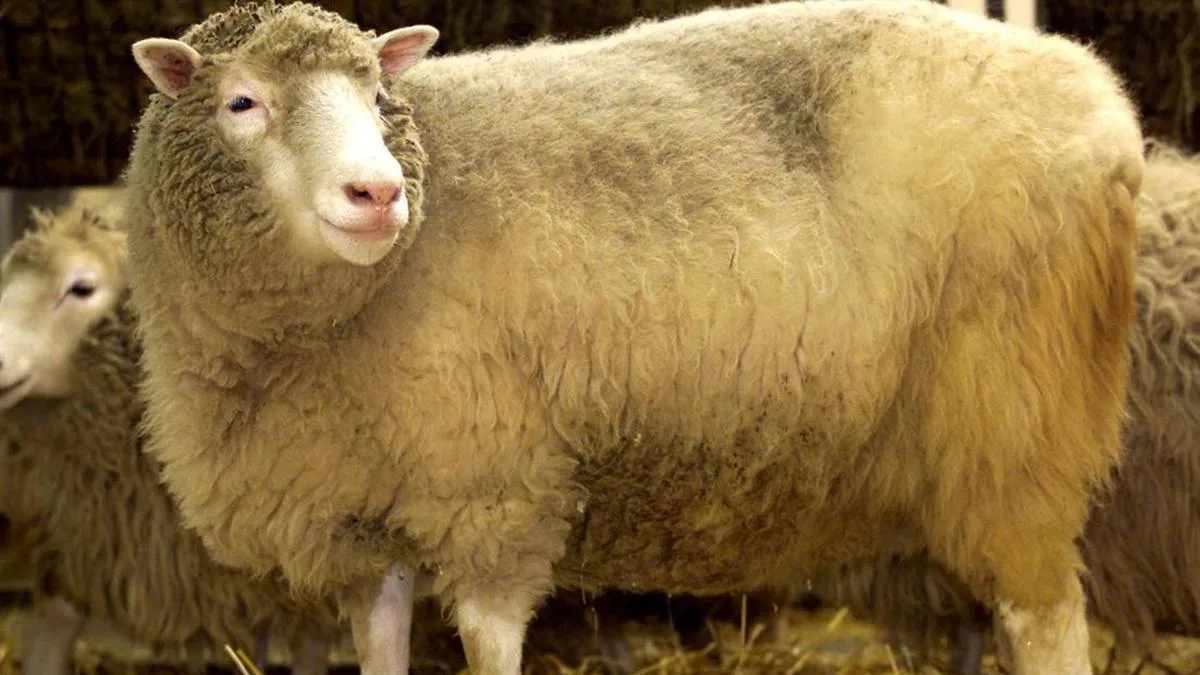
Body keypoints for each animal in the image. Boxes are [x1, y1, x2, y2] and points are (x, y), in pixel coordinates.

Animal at [121, 1, 1144, 674]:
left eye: (378, 97)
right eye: (241, 102)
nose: (378, 192)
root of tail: (1097, 91)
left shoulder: (496, 489)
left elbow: (491, 642)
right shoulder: (363, 516)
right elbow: (381, 649)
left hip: (1014, 415)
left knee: (1048, 615)